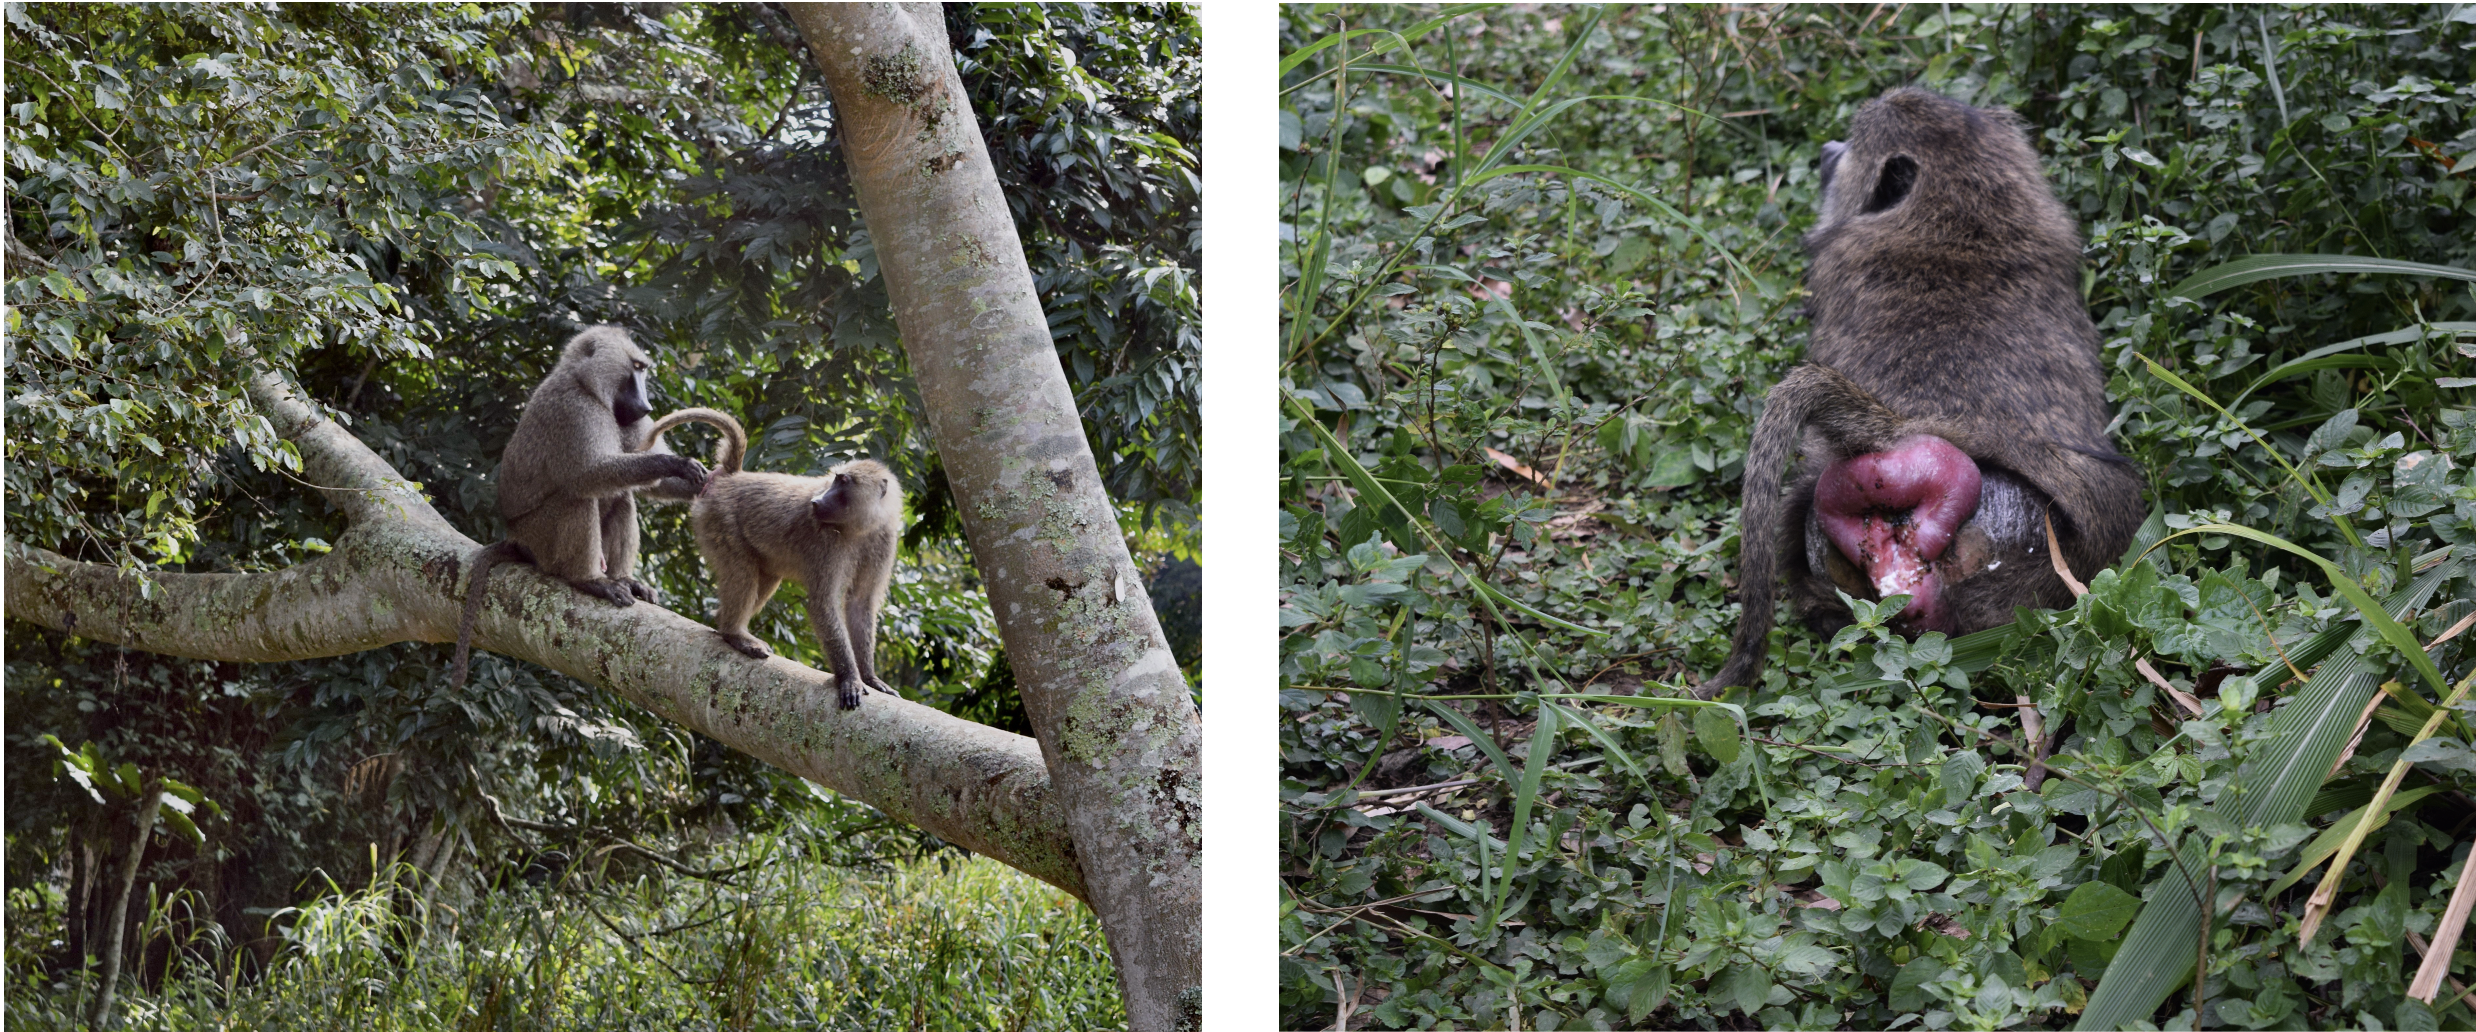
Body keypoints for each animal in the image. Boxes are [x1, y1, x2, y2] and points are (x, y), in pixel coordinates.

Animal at [448, 326, 710, 689]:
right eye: (636, 368)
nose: (646, 405)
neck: (584, 383)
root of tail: (515, 538)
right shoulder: (576, 411)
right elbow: (588, 474)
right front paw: (677, 463)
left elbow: (648, 485)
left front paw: (703, 481)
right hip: (540, 537)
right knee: (578, 496)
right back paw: (589, 581)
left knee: (621, 499)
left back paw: (624, 579)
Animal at [636, 407, 907, 711]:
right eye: (835, 479)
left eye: (843, 482)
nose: (816, 501)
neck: (860, 527)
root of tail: (731, 478)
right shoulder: (827, 544)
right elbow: (824, 604)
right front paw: (849, 677)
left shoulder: (884, 540)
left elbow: (861, 603)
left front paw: (870, 677)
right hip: (718, 520)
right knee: (742, 573)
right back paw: (734, 633)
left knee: (765, 577)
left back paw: (725, 625)